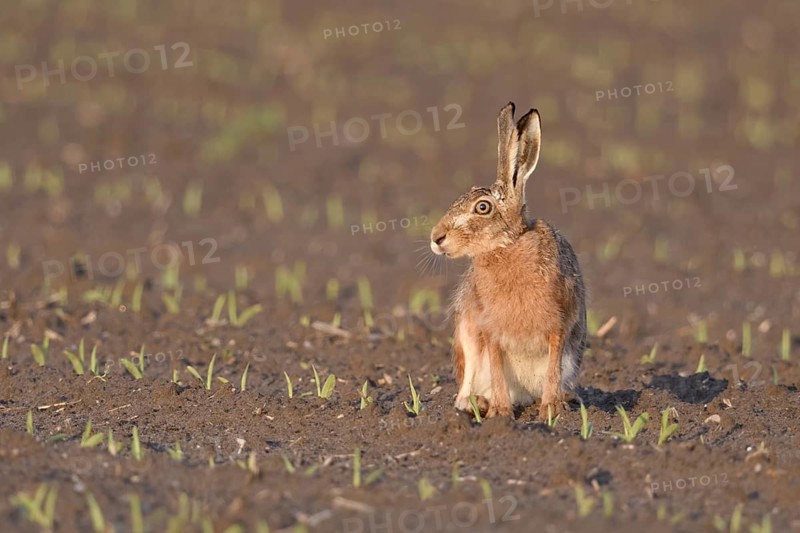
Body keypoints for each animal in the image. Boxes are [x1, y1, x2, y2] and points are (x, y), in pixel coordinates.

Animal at [429, 102, 587, 420]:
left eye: (482, 208)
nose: (436, 237)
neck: (508, 244)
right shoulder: (489, 329)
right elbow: (497, 368)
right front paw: (501, 414)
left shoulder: (559, 324)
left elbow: (552, 366)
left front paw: (551, 410)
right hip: (467, 337)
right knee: (465, 391)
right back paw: (480, 404)